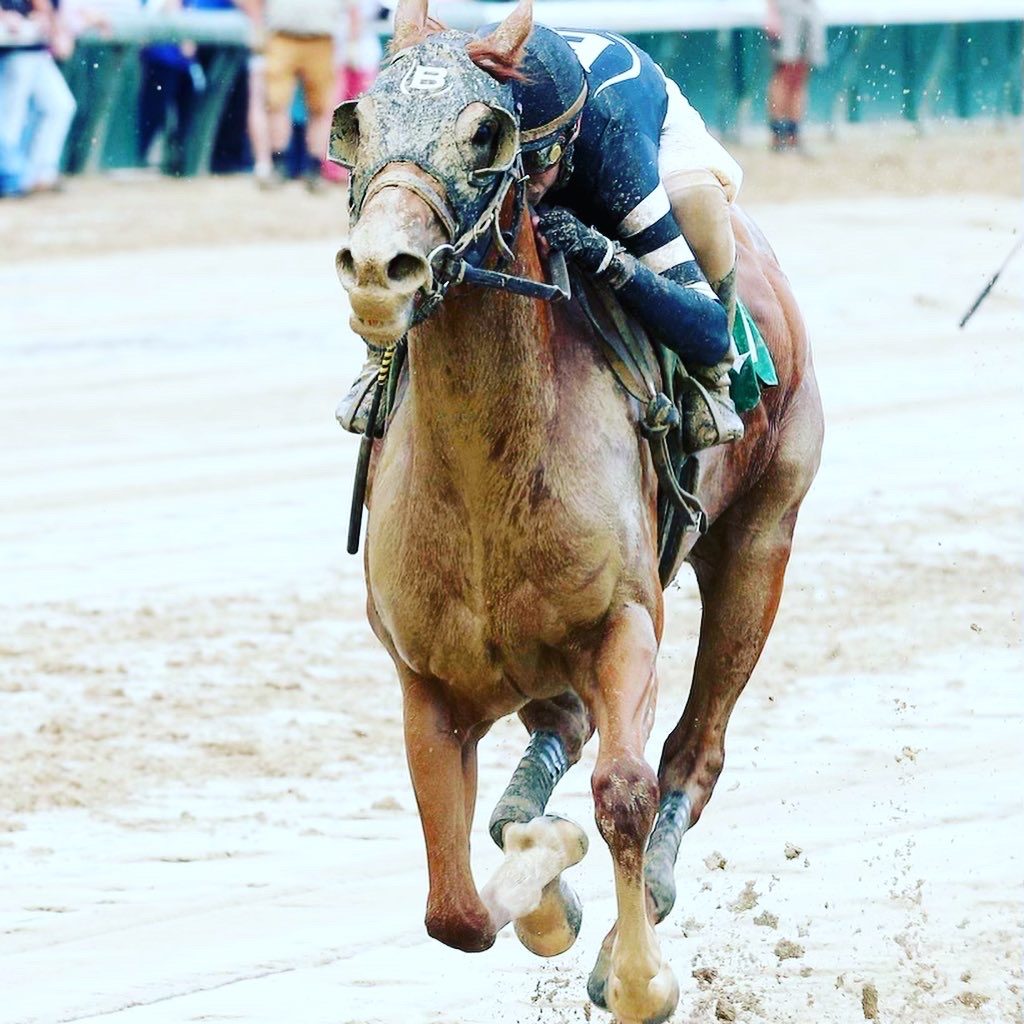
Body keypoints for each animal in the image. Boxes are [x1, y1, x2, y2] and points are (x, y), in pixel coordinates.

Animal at [332, 2, 824, 1021]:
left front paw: (632, 973)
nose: (377, 268)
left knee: (693, 747)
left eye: (487, 135)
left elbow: (624, 789)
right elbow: (455, 913)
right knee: (559, 728)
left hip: (761, 540)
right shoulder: (426, 681)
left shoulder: (622, 621)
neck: (486, 478)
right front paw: (541, 880)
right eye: (353, 124)